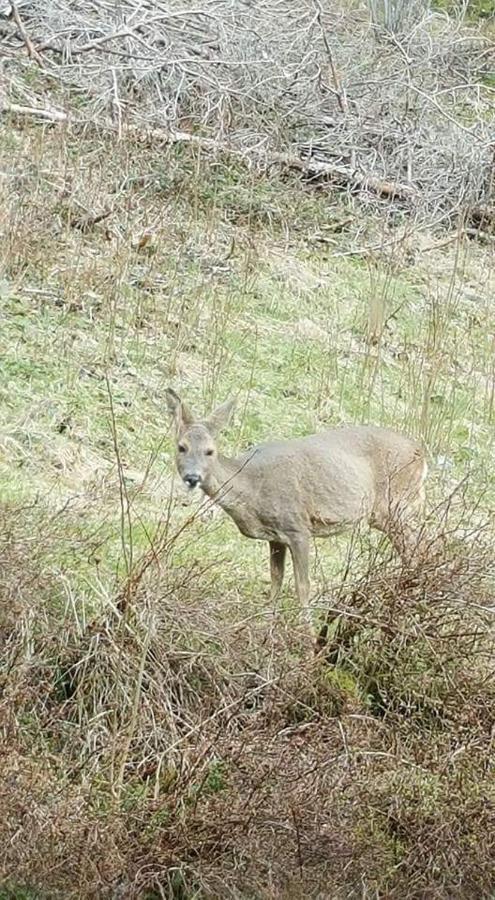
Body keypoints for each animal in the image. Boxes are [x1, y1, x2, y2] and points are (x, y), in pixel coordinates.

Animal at [166, 390, 426, 636]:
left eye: (210, 451)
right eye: (181, 447)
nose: (192, 478)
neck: (252, 487)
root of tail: (421, 453)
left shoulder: (298, 527)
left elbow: (303, 585)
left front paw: (308, 638)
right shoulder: (275, 537)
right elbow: (276, 581)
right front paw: (266, 630)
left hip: (394, 507)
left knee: (417, 551)